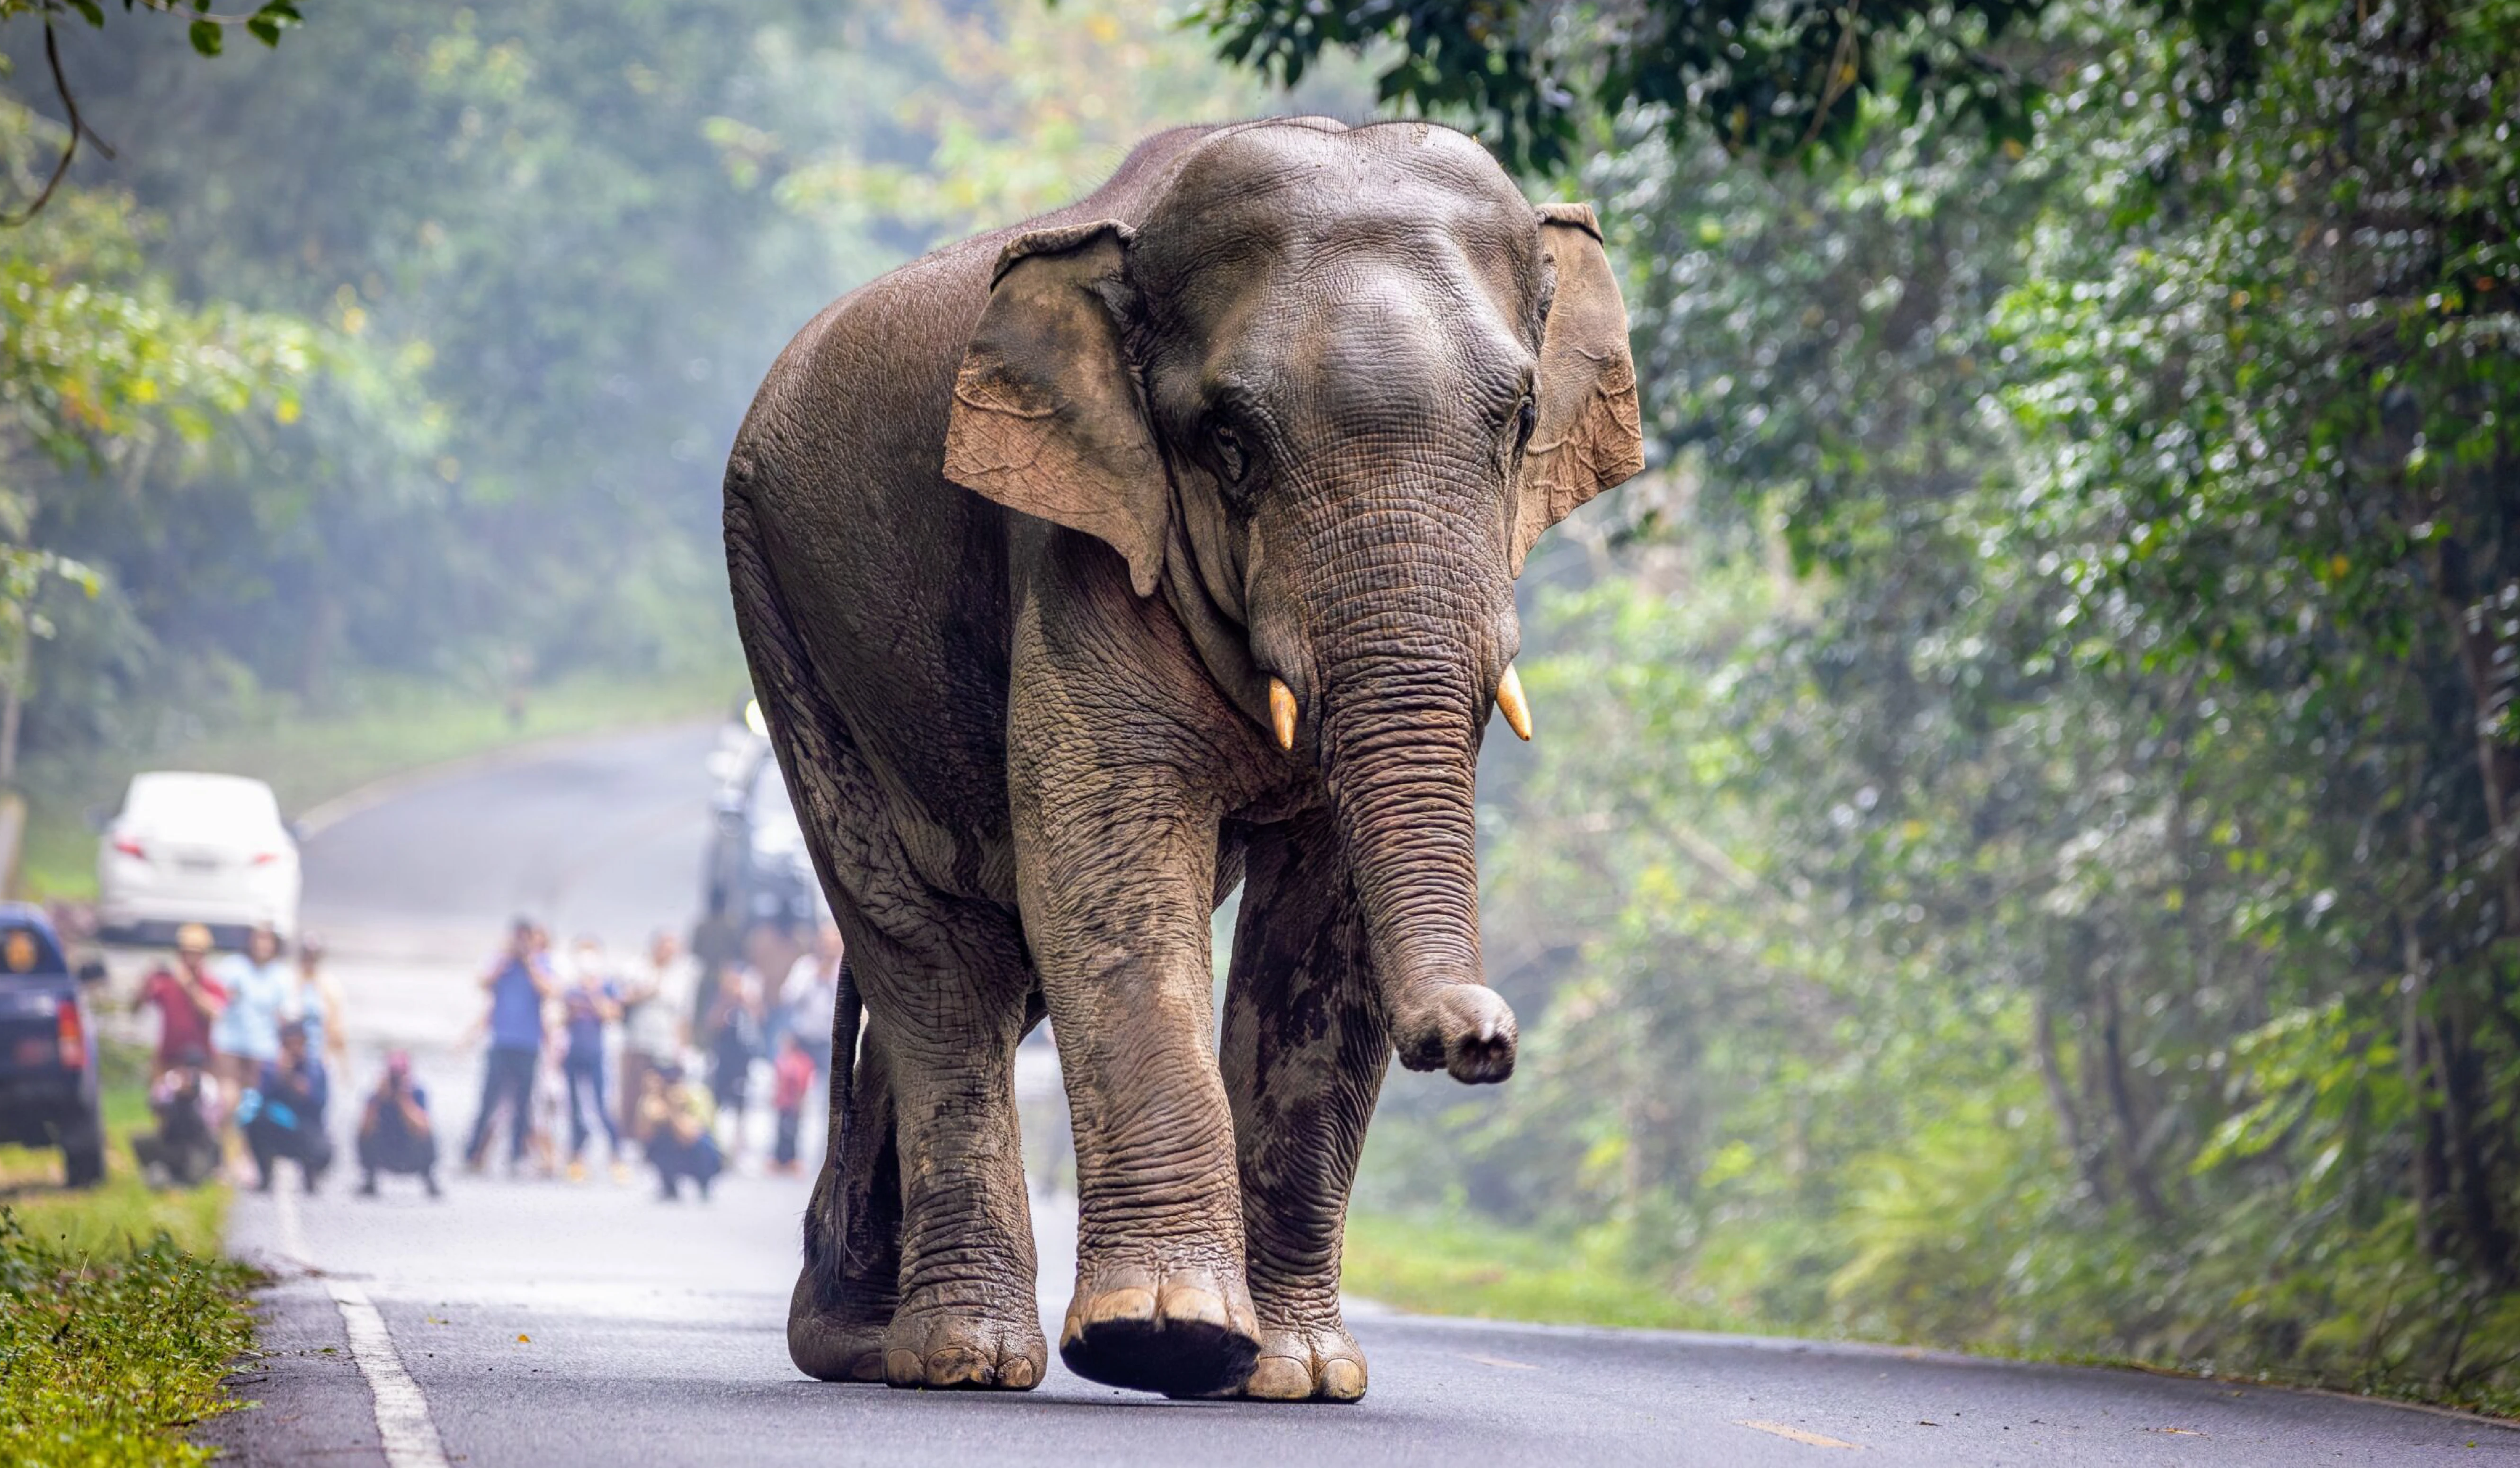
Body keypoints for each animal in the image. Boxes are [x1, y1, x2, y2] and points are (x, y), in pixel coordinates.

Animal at [722, 116, 1642, 1403]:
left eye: (1516, 424)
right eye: (1231, 445)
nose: (1481, 1037)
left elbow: (1325, 923)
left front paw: (1299, 1375)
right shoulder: (1082, 542)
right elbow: (1110, 867)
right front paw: (1170, 1336)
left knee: (999, 959)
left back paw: (855, 1335)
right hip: (781, 605)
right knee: (936, 952)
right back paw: (955, 1356)